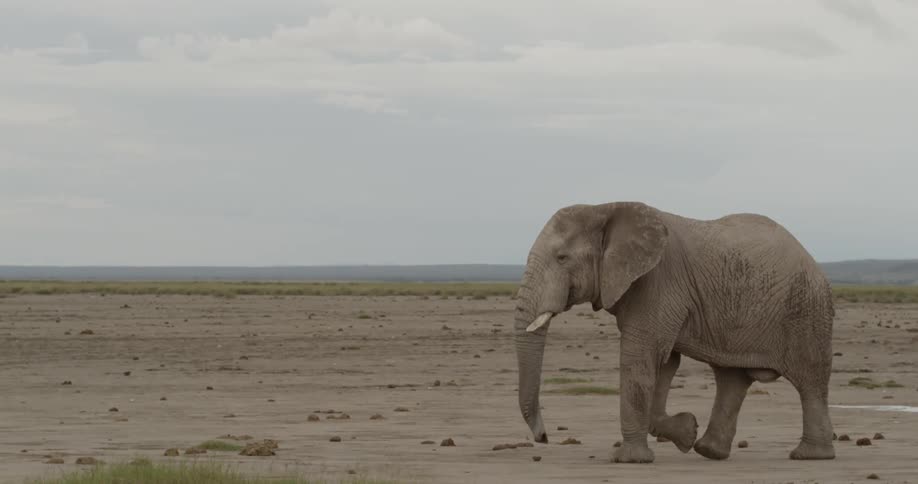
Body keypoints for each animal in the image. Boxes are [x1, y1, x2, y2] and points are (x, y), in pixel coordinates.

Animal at [514, 201, 835, 463]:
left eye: (562, 258)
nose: (543, 438)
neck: (605, 207)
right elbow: (666, 363)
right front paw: (687, 431)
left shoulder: (658, 281)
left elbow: (641, 359)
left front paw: (629, 460)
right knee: (731, 378)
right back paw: (709, 450)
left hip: (806, 310)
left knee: (810, 380)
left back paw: (810, 455)